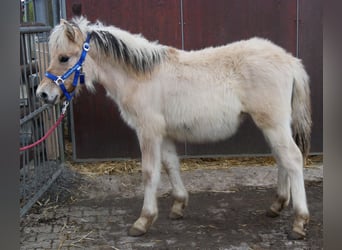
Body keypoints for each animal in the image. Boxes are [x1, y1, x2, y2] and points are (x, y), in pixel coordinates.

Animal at [36, 16, 312, 239]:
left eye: (63, 58)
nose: (43, 94)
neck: (140, 77)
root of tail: (290, 60)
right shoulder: (164, 133)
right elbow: (171, 165)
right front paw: (179, 205)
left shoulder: (148, 131)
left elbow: (150, 172)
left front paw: (143, 220)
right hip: (274, 125)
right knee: (282, 158)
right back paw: (277, 205)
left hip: (272, 123)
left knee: (292, 158)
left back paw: (299, 221)